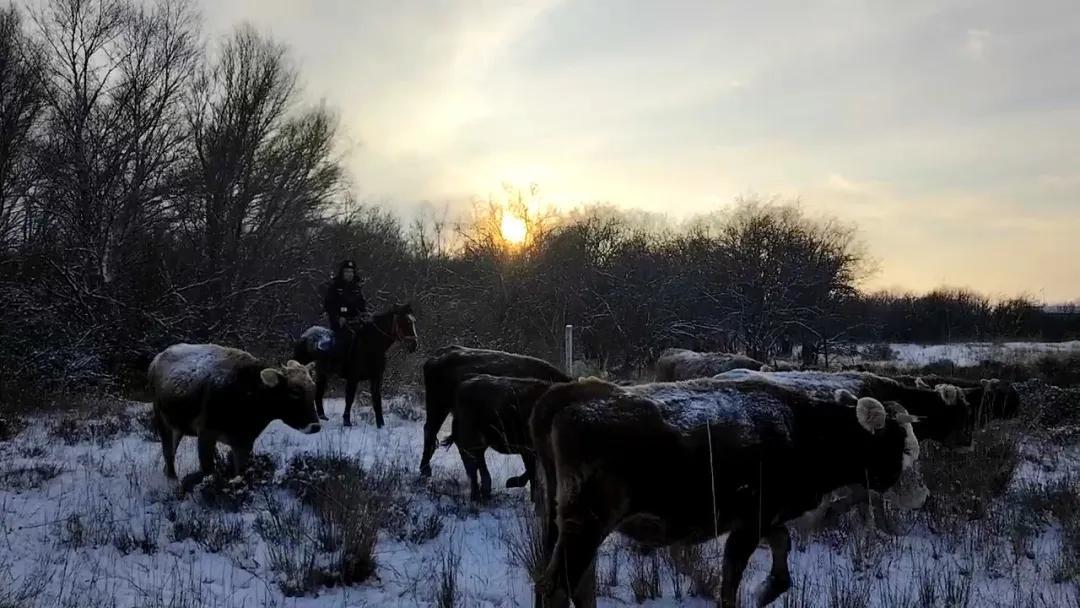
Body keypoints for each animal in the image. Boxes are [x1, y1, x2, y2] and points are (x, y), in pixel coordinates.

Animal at [150, 343, 321, 490]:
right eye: (295, 392)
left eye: (314, 388)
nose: (315, 426)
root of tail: (155, 360)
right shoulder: (206, 431)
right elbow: (208, 471)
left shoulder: (244, 441)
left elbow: (241, 473)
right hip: (162, 420)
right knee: (168, 453)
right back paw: (172, 481)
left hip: (178, 426)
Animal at [440, 373, 557, 501]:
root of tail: (462, 386)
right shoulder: (529, 449)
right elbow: (532, 474)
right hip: (468, 438)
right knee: (471, 464)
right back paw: (477, 495)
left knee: (478, 462)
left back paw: (485, 491)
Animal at [531, 377, 928, 604]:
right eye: (903, 448)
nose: (922, 496)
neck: (804, 427)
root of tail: (568, 395)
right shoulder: (749, 523)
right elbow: (731, 581)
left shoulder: (767, 517)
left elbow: (782, 550)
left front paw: (766, 590)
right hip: (587, 525)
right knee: (560, 587)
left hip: (560, 524)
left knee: (572, 584)